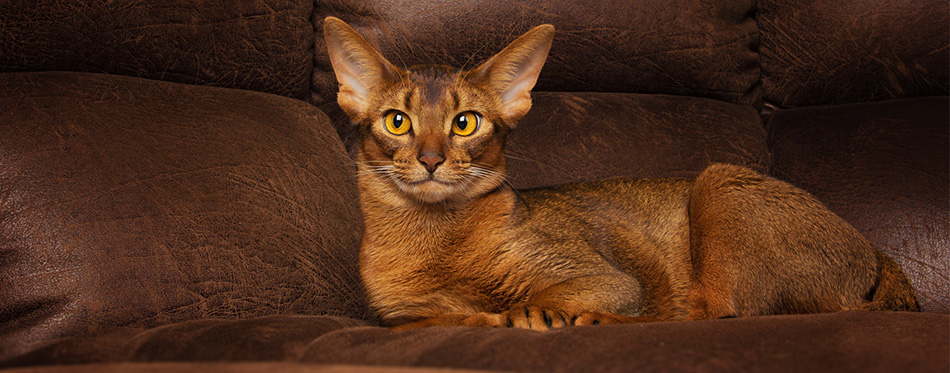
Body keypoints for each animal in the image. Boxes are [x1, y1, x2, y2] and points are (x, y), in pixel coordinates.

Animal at [324, 16, 920, 330]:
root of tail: (873, 250)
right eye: (397, 121)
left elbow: (531, 300)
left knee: (719, 316)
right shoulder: (400, 315)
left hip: (720, 182)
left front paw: (526, 316)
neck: (435, 240)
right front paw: (483, 315)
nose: (430, 159)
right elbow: (440, 317)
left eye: (465, 123)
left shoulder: (605, 280)